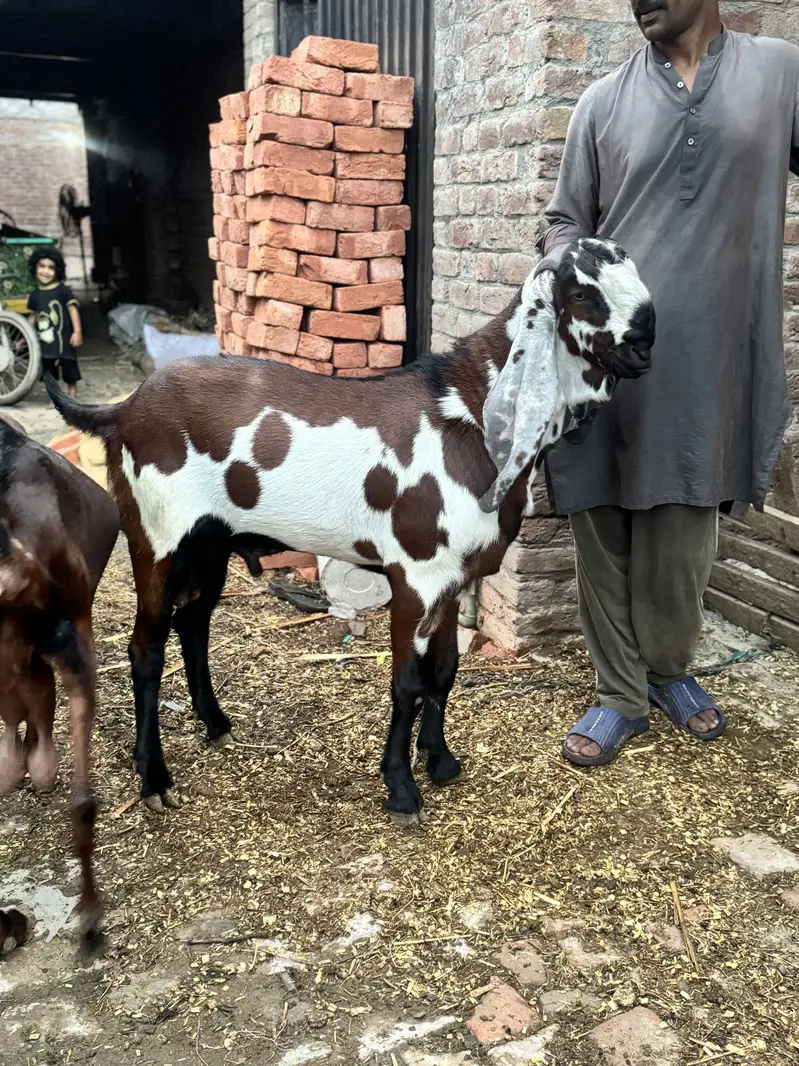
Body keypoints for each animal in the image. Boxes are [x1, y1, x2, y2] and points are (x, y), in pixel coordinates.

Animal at [47, 238, 655, 826]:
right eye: (582, 293)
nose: (645, 338)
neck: (468, 412)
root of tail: (123, 410)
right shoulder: (415, 576)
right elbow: (408, 682)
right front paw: (402, 790)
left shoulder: (455, 577)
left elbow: (445, 672)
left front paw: (440, 762)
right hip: (156, 538)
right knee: (145, 648)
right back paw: (154, 780)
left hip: (210, 544)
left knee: (193, 624)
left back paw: (215, 723)